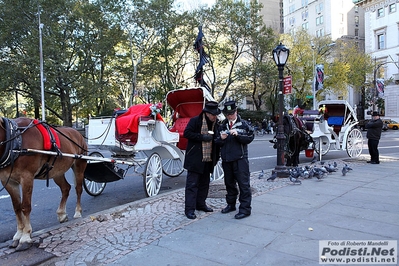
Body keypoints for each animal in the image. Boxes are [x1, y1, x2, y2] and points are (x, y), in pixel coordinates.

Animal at [0, 117, 87, 251]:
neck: (14, 139)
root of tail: (77, 133)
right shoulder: (8, 181)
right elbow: (16, 207)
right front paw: (18, 234)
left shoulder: (27, 177)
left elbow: (25, 207)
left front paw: (25, 236)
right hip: (56, 171)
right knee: (66, 188)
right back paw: (61, 213)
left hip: (79, 165)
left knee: (78, 189)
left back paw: (78, 212)